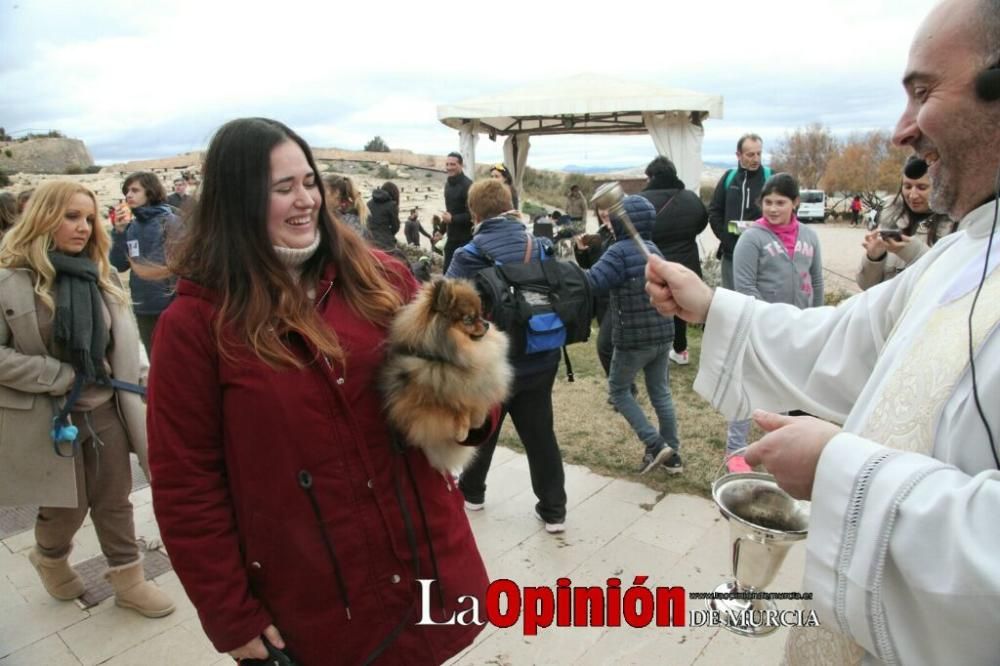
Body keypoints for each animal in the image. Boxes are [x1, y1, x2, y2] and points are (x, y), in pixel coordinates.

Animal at [378, 276, 512, 472]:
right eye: (469, 319)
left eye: (481, 314)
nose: (487, 323)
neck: (445, 359)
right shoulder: (419, 399)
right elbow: (455, 405)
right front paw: (463, 428)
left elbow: (478, 402)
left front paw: (478, 419)